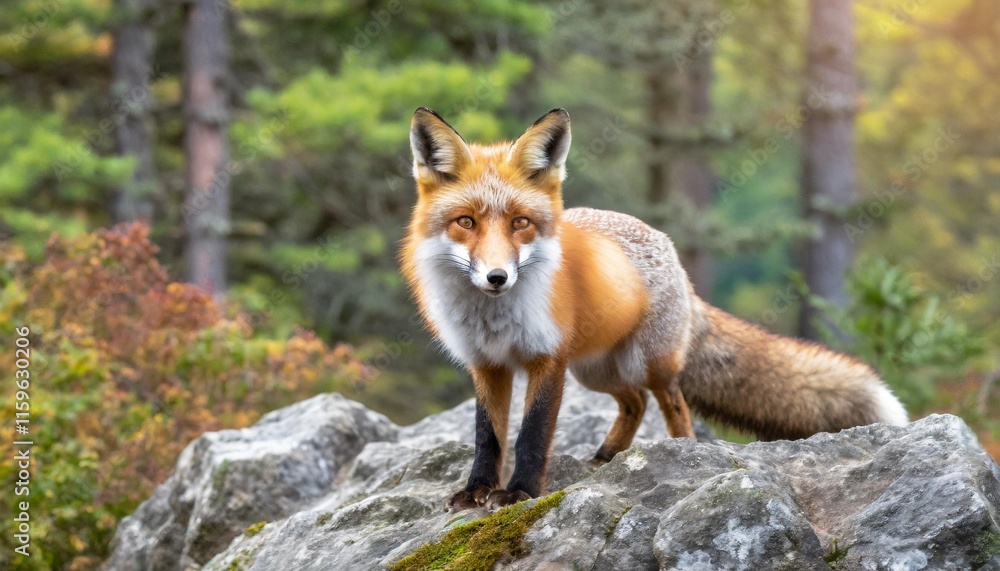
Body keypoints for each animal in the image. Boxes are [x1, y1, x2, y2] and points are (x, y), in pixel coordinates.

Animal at [400, 107, 909, 512]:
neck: (494, 320)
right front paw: (478, 489)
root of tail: (670, 250)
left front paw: (521, 492)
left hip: (647, 362)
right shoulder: (487, 364)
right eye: (466, 222)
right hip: (596, 371)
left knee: (671, 402)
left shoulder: (547, 358)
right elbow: (488, 436)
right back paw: (606, 456)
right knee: (635, 402)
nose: (497, 277)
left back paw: (686, 454)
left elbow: (531, 435)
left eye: (520, 223)